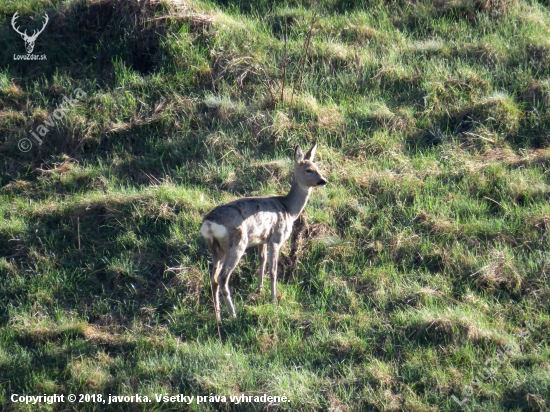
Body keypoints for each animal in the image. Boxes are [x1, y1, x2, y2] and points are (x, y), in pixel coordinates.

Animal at [202, 143, 328, 320]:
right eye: (308, 170)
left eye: (317, 167)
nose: (323, 180)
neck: (289, 209)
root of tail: (209, 223)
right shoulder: (276, 238)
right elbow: (273, 270)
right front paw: (273, 299)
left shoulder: (261, 240)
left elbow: (261, 262)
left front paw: (259, 290)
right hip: (238, 243)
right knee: (222, 277)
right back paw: (233, 315)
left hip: (216, 248)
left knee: (213, 278)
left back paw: (218, 317)